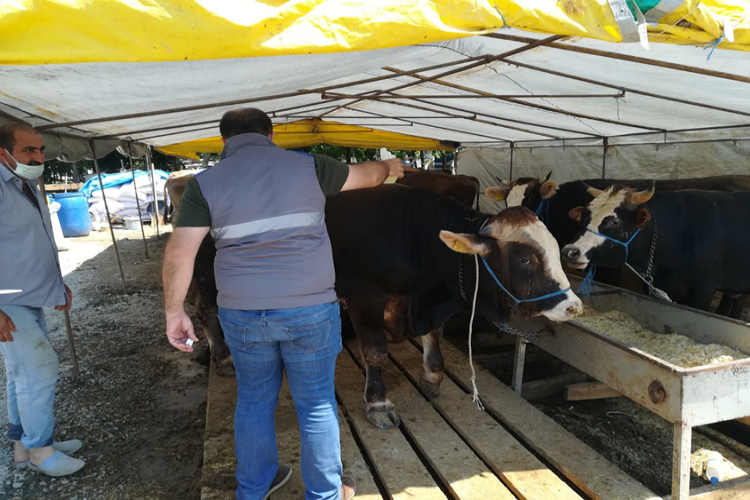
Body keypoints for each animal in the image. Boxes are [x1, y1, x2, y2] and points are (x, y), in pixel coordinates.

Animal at [326, 186, 584, 428]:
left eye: (555, 249)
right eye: (524, 259)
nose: (573, 306)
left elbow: (434, 335)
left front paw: (432, 375)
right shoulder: (364, 300)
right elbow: (375, 351)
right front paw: (378, 403)